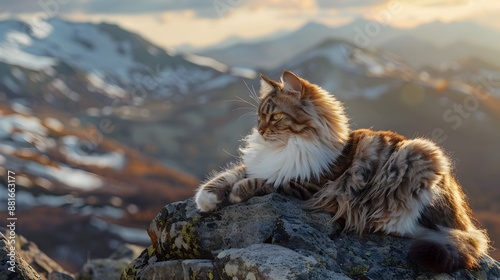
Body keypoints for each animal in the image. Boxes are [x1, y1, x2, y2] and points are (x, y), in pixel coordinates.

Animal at [193, 70, 490, 274]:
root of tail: (464, 221)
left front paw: (235, 193)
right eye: (259, 117)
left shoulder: (310, 184)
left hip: (420, 155)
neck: (288, 146)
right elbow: (231, 174)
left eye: (275, 117)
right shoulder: (261, 164)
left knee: (415, 227)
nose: (261, 131)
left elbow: (263, 182)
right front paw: (207, 198)